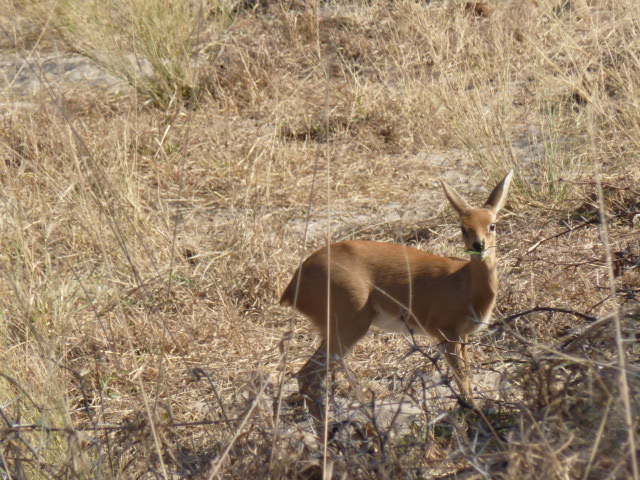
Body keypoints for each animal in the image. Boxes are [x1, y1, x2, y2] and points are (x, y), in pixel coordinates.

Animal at [280, 171, 516, 418]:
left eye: (492, 225)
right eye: (463, 227)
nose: (478, 245)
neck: (465, 282)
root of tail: (294, 284)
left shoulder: (463, 337)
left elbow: (467, 375)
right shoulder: (446, 334)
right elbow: (461, 376)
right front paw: (474, 410)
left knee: (310, 376)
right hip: (349, 327)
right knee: (308, 375)